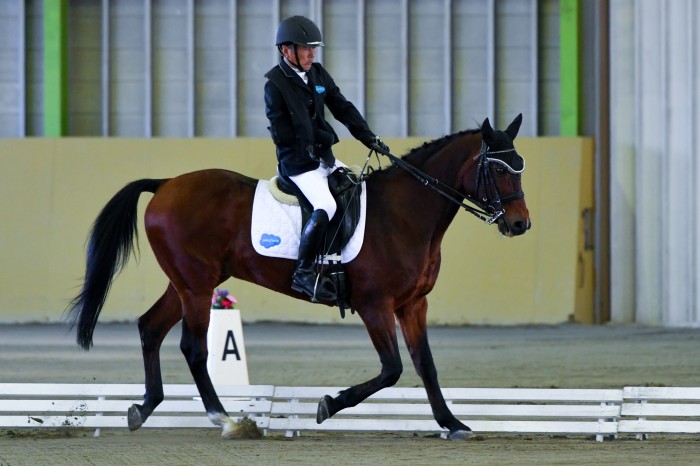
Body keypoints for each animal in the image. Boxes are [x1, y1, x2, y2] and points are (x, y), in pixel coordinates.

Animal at [67, 114, 532, 440]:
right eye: (499, 169)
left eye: (520, 166)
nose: (520, 224)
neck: (404, 215)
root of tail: (165, 184)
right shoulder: (375, 305)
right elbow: (392, 369)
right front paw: (328, 404)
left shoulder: (413, 304)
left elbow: (425, 366)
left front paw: (452, 423)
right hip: (197, 287)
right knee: (194, 349)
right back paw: (226, 420)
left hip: (184, 283)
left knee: (150, 328)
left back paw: (144, 407)